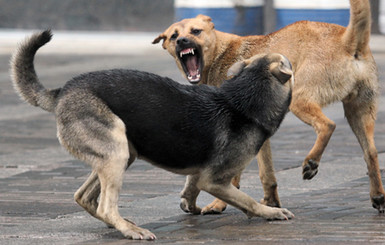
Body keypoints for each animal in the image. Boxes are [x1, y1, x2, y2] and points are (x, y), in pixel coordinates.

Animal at [11, 30, 294, 239]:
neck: (244, 99)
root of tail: (62, 92)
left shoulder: (201, 173)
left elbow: (191, 189)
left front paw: (191, 206)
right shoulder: (214, 180)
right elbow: (247, 200)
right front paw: (270, 212)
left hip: (121, 153)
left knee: (84, 196)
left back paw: (119, 223)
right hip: (116, 151)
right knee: (105, 206)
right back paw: (129, 229)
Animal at [154, 0, 384, 214]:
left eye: (196, 31)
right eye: (173, 36)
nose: (182, 41)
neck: (220, 54)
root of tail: (347, 40)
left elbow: (232, 176)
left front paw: (219, 204)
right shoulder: (259, 134)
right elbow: (267, 173)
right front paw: (271, 203)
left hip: (300, 99)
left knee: (328, 125)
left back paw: (311, 162)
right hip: (359, 113)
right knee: (371, 153)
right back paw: (378, 196)